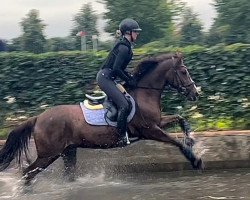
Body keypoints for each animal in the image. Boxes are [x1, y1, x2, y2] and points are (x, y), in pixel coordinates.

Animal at [0, 53, 202, 184]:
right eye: (184, 72)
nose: (195, 93)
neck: (144, 94)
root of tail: (38, 118)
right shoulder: (150, 130)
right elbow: (175, 142)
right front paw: (195, 160)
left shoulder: (157, 123)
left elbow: (181, 118)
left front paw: (191, 139)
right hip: (48, 154)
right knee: (27, 173)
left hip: (67, 151)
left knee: (66, 175)